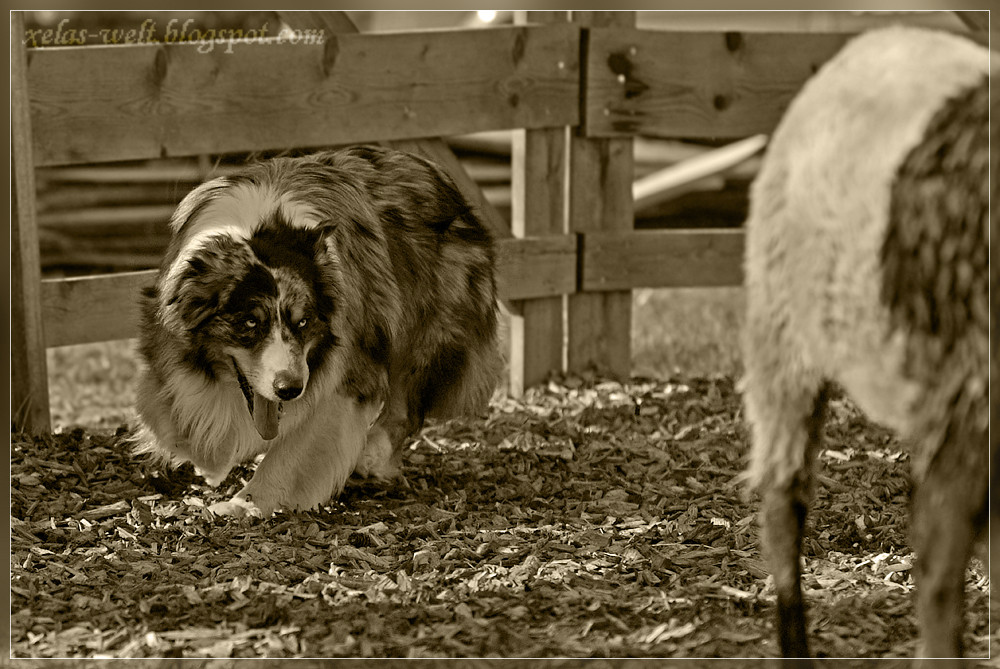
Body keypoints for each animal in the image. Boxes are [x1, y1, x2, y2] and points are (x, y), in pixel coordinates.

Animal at [133, 146, 504, 516]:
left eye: (303, 322)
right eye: (250, 323)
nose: (289, 390)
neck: (258, 226)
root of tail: (434, 170)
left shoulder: (344, 370)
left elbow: (291, 452)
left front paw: (245, 504)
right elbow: (170, 411)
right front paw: (207, 458)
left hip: (431, 328)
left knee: (408, 401)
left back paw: (372, 455)